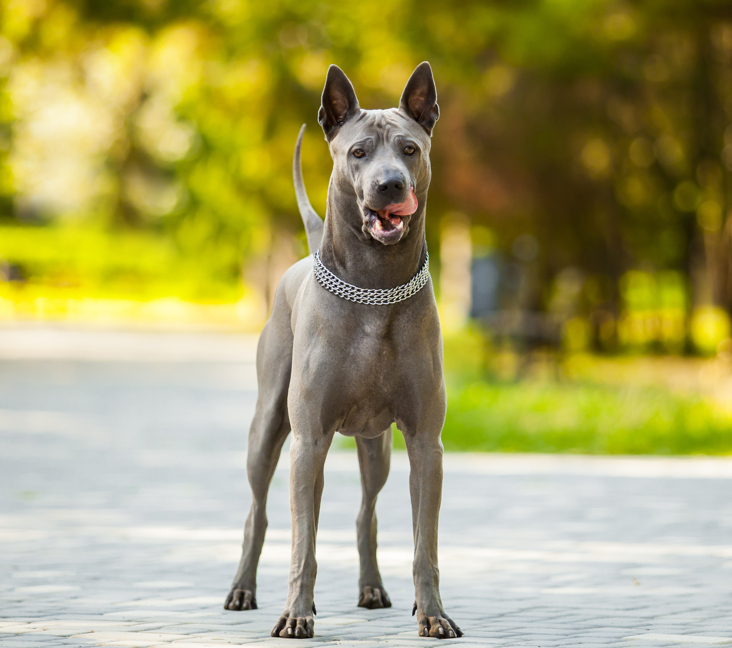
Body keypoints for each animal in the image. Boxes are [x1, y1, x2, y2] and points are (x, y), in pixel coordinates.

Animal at [224, 63, 464, 640]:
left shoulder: (426, 444)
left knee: (365, 511)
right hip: (272, 429)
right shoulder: (309, 439)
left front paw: (434, 614)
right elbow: (302, 544)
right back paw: (244, 590)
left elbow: (425, 545)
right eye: (358, 152)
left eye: (409, 149)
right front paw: (296, 614)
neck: (375, 287)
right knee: (262, 511)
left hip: (376, 447)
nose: (390, 184)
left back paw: (372, 588)